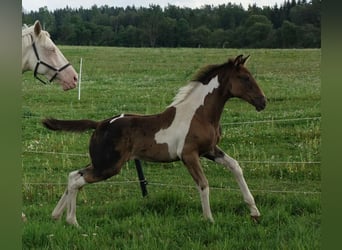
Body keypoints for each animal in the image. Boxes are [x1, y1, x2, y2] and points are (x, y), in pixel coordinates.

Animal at [43, 54, 268, 227]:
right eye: (245, 78)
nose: (263, 102)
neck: (200, 114)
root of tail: (100, 124)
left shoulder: (210, 150)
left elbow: (235, 166)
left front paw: (255, 212)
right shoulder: (189, 155)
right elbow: (203, 184)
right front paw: (209, 219)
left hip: (101, 162)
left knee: (74, 175)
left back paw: (56, 215)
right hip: (109, 166)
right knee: (77, 181)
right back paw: (72, 221)